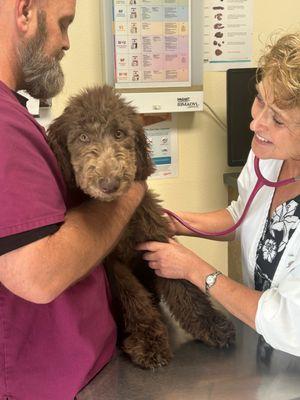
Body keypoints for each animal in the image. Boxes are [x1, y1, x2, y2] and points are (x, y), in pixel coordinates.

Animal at [47, 85, 236, 368]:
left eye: (118, 133)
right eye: (82, 137)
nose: (109, 183)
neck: (119, 216)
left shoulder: (157, 242)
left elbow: (184, 288)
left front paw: (210, 325)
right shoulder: (114, 264)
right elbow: (134, 298)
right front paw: (148, 341)